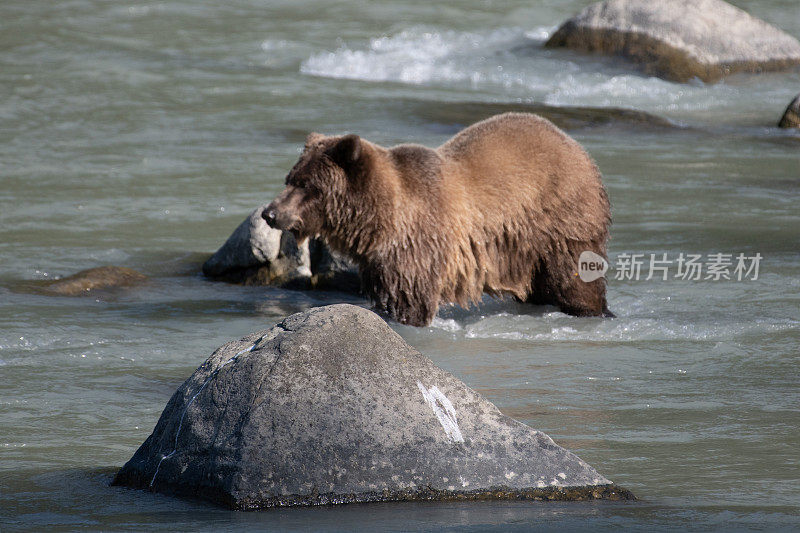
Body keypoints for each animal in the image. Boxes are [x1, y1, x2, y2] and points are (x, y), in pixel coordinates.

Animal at [262, 113, 612, 324]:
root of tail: (575, 146)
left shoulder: (418, 245)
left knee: (573, 278)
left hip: (559, 219)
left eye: (307, 185)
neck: (378, 222)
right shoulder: (380, 261)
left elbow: (411, 298)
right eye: (290, 178)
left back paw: (592, 311)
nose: (270, 213)